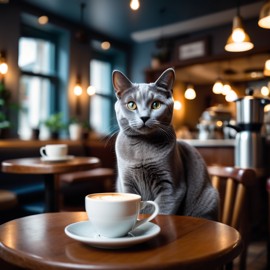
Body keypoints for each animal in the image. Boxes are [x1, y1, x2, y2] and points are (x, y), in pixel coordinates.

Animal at [112, 68, 219, 221]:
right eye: (131, 105)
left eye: (156, 104)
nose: (144, 117)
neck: (143, 147)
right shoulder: (126, 184)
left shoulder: (171, 188)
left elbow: (162, 211)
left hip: (209, 198)